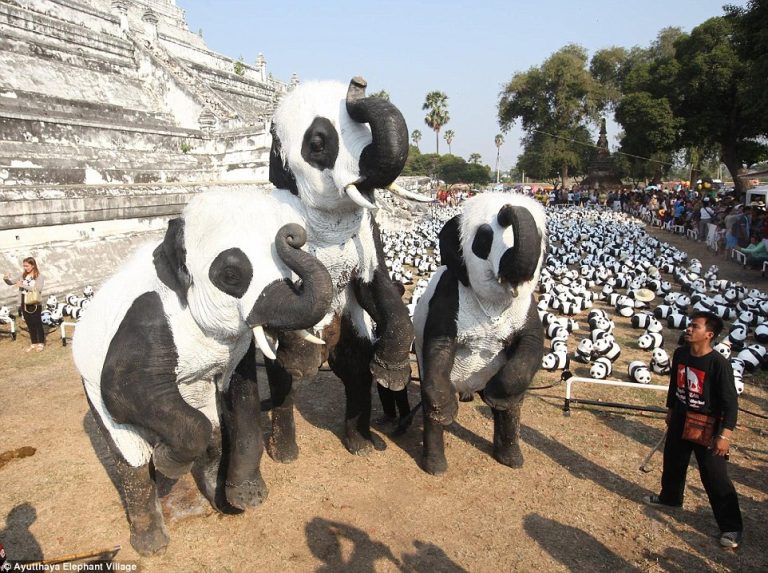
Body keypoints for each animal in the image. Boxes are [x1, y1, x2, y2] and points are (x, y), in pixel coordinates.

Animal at [73, 189, 332, 556]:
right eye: (231, 275)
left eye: (292, 277)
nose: (294, 234)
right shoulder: (147, 319)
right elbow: (123, 390)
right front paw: (167, 461)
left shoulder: (234, 350)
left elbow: (241, 396)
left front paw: (247, 497)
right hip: (90, 387)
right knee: (131, 455)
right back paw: (151, 541)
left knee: (213, 431)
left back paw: (217, 498)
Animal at [268, 78, 416, 458]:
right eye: (318, 143)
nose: (358, 83)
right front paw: (302, 359)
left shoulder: (369, 234)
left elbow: (375, 287)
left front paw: (392, 374)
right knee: (282, 380)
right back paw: (284, 452)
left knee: (354, 368)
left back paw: (362, 444)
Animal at [414, 192, 544, 474]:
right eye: (485, 238)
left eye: (540, 237)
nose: (507, 207)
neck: (494, 300)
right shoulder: (450, 294)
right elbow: (439, 346)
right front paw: (448, 411)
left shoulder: (527, 305)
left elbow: (531, 344)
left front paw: (498, 396)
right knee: (430, 398)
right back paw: (435, 465)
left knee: (511, 411)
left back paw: (510, 457)